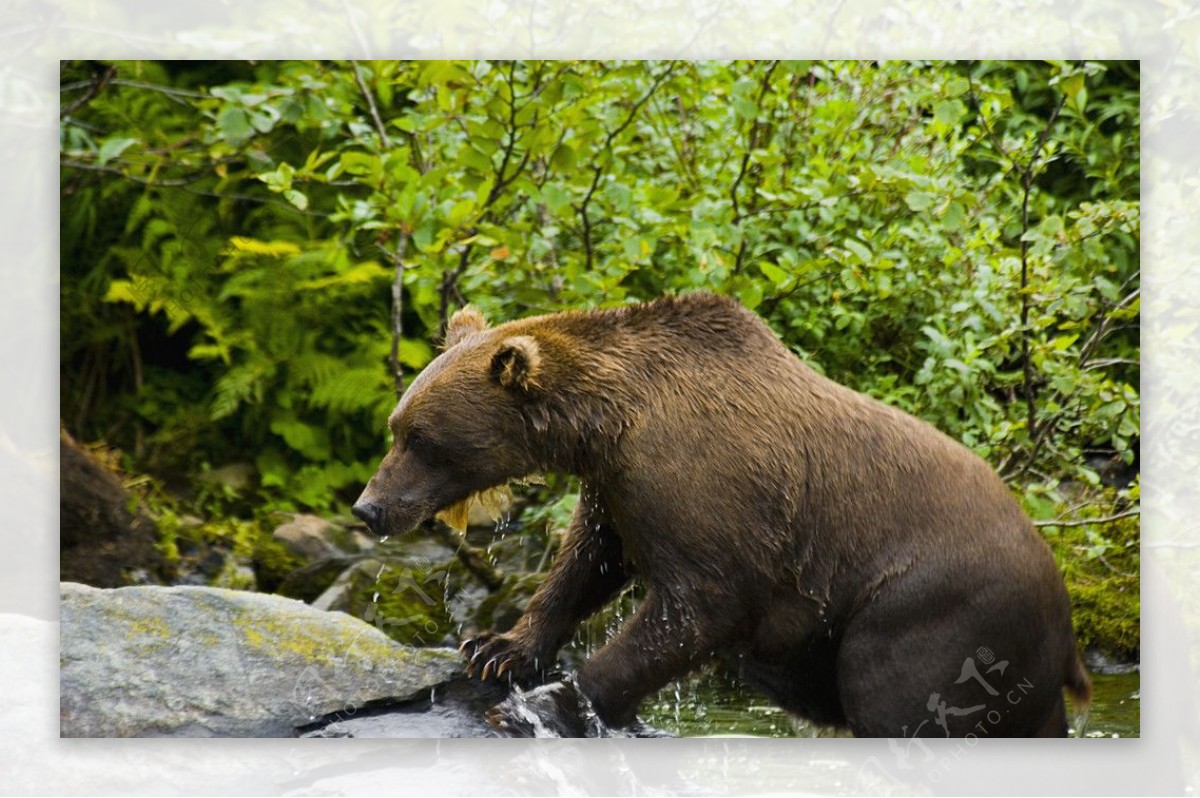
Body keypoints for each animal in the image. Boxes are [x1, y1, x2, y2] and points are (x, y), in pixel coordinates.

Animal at [350, 291, 1094, 734]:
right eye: (396, 426)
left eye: (421, 439)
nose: (369, 508)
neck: (610, 424)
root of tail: (1064, 612)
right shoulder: (617, 488)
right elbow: (586, 563)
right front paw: (497, 649)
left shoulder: (708, 493)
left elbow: (694, 609)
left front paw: (550, 702)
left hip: (932, 610)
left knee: (898, 699)